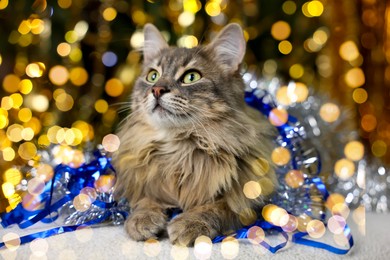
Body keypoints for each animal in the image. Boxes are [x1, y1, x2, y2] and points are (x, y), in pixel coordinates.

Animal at [111, 22, 278, 246]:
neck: (177, 149)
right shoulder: (145, 185)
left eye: (191, 77)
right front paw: (142, 219)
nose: (156, 90)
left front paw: (190, 224)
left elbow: (215, 208)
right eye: (152, 76)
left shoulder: (246, 202)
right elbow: (145, 201)